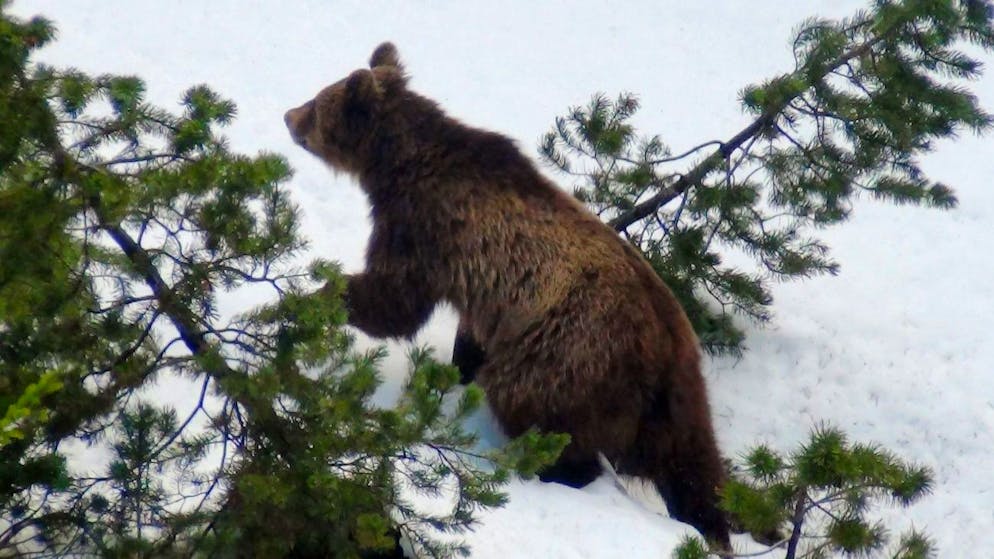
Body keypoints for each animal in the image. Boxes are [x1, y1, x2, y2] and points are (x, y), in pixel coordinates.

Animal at [284, 43, 731, 550]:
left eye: (318, 103)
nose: (288, 116)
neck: (397, 164)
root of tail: (665, 344)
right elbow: (462, 332)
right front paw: (457, 368)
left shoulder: (423, 226)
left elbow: (393, 301)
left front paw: (311, 296)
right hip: (677, 397)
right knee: (695, 466)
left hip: (568, 353)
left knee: (535, 406)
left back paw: (547, 468)